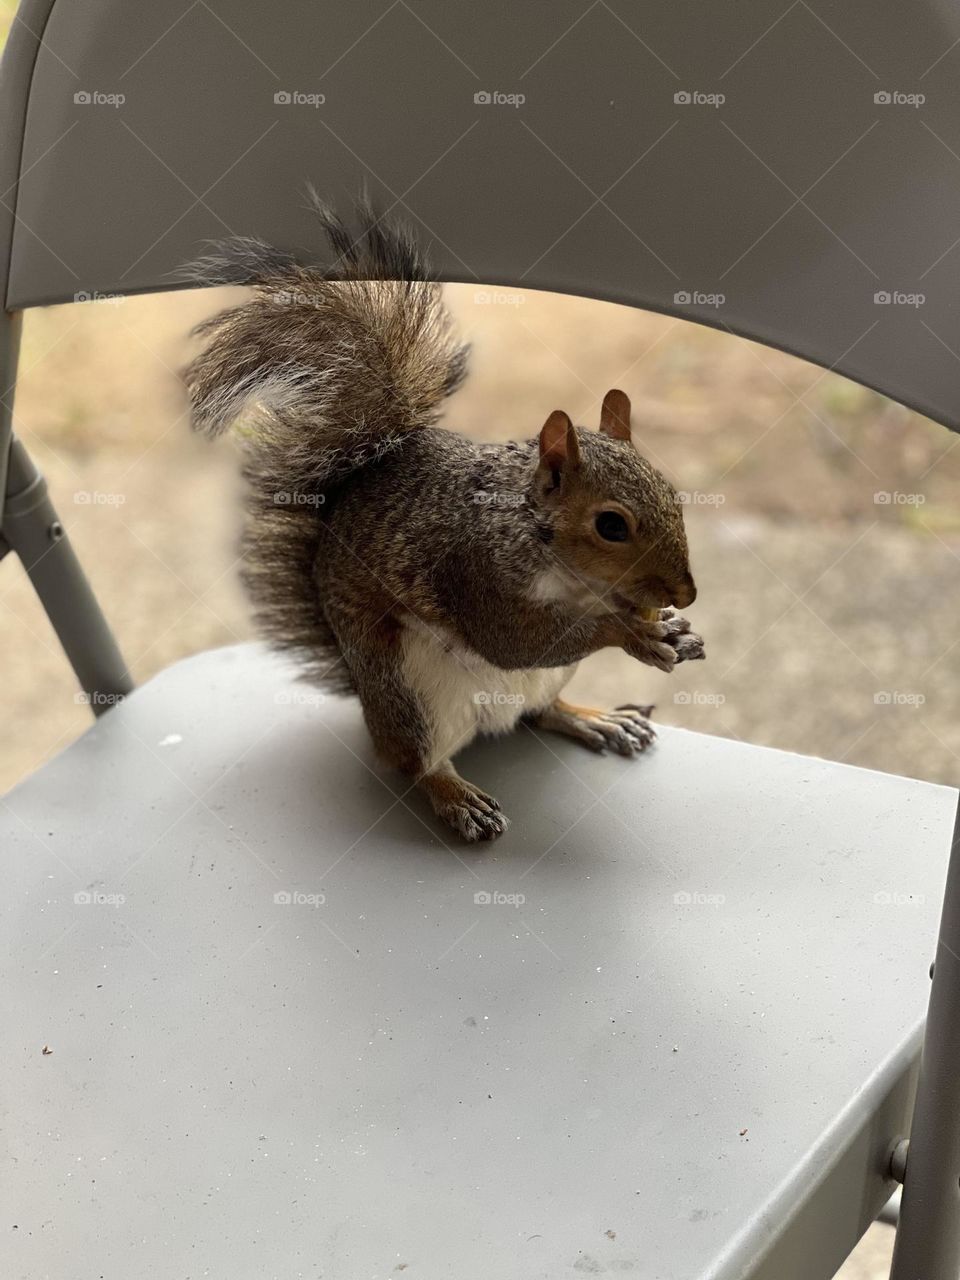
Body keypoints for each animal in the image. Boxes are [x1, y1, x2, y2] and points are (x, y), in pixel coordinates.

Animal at [183, 197, 704, 843]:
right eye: (611, 525)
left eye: (673, 492)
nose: (686, 591)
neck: (553, 559)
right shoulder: (472, 571)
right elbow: (515, 640)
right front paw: (633, 634)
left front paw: (675, 628)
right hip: (410, 695)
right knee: (416, 763)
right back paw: (456, 796)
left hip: (547, 681)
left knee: (541, 712)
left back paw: (595, 719)